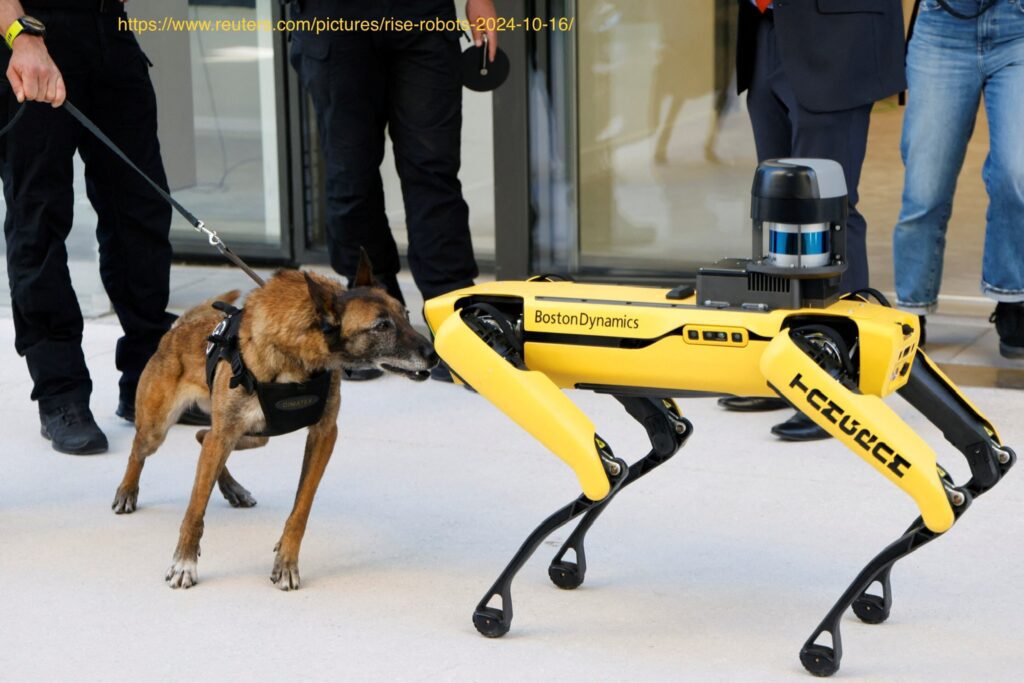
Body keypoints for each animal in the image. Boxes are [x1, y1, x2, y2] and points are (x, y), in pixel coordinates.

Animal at [111, 253, 436, 589]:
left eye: (406, 315)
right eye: (381, 326)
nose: (434, 354)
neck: (296, 355)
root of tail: (176, 330)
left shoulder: (323, 436)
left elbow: (300, 509)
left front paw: (286, 561)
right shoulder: (226, 436)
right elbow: (194, 510)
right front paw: (184, 562)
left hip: (255, 434)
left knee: (203, 437)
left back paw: (233, 489)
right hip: (160, 429)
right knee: (141, 451)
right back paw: (127, 492)